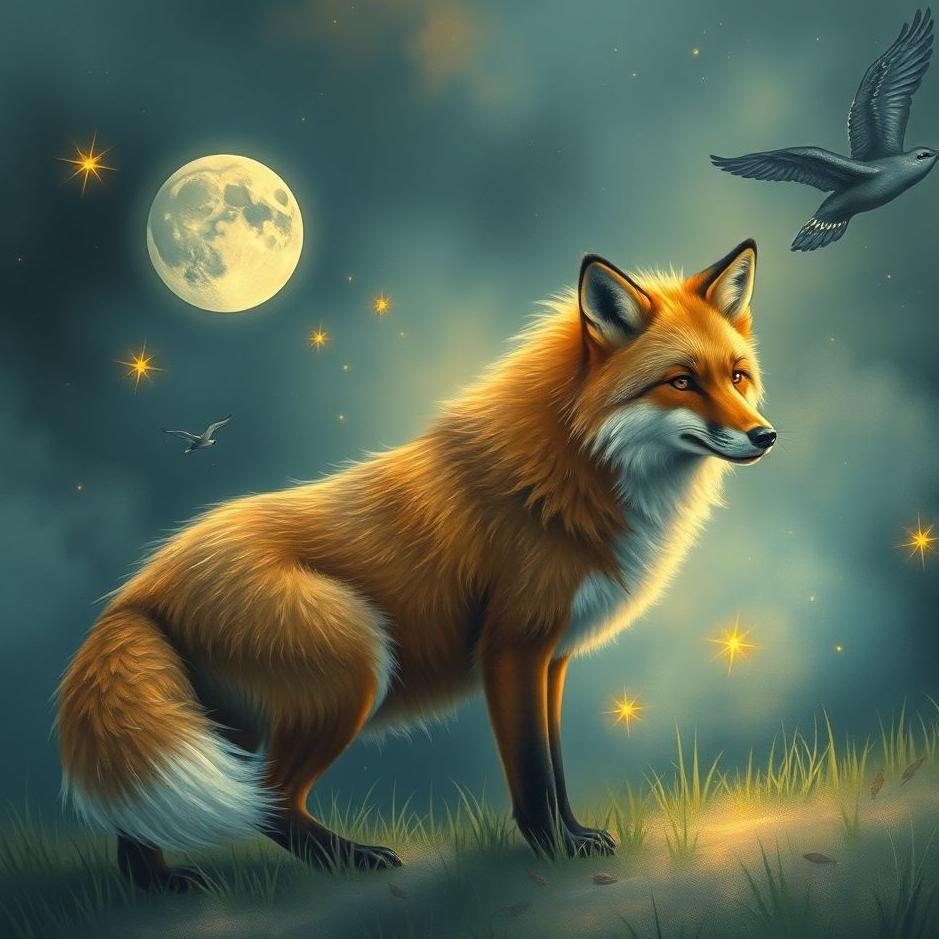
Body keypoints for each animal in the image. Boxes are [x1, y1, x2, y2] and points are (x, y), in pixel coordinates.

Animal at [57, 240, 775, 890]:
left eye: (737, 375)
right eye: (681, 381)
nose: (764, 435)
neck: (577, 466)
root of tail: (136, 587)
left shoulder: (554, 657)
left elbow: (557, 767)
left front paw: (575, 835)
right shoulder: (512, 647)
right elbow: (533, 773)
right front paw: (553, 848)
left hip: (222, 722)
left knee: (150, 813)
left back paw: (156, 882)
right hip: (351, 667)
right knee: (270, 801)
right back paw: (349, 859)